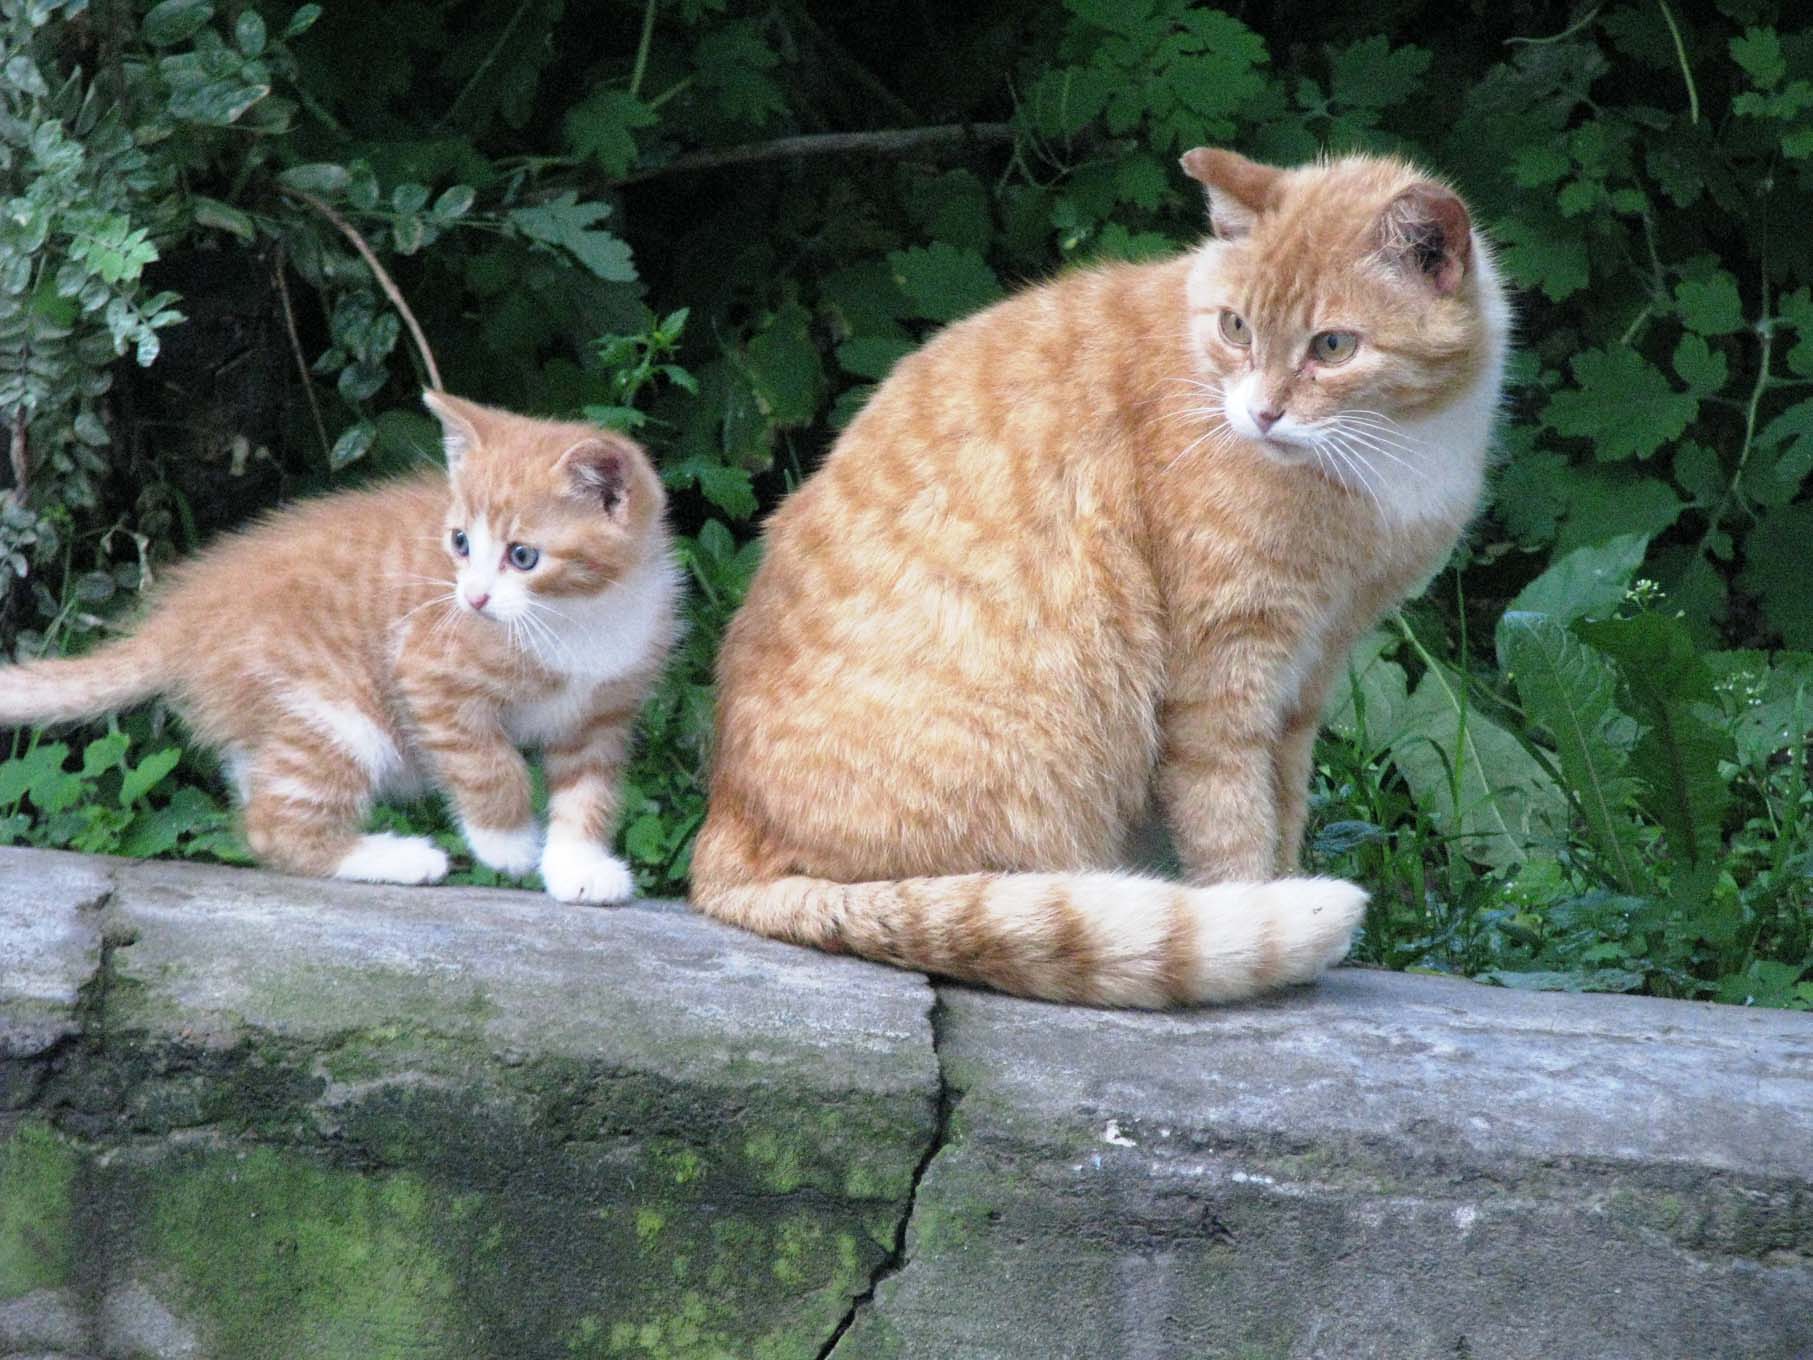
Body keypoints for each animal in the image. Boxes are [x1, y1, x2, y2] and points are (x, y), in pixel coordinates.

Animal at [0, 393, 679, 901]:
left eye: (523, 556)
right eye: (460, 542)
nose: (475, 599)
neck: (581, 616)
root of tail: (182, 614)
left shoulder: (604, 712)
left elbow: (589, 790)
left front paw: (577, 867)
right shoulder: (428, 671)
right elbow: (488, 763)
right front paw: (507, 843)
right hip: (334, 709)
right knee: (273, 826)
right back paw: (398, 858)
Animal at [690, 148, 1510, 1007]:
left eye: (1332, 347)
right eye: (1235, 328)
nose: (1260, 414)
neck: (1391, 458)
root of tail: (721, 837)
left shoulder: (1308, 673)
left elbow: (1281, 811)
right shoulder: (1222, 680)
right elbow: (1232, 828)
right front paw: (1261, 914)